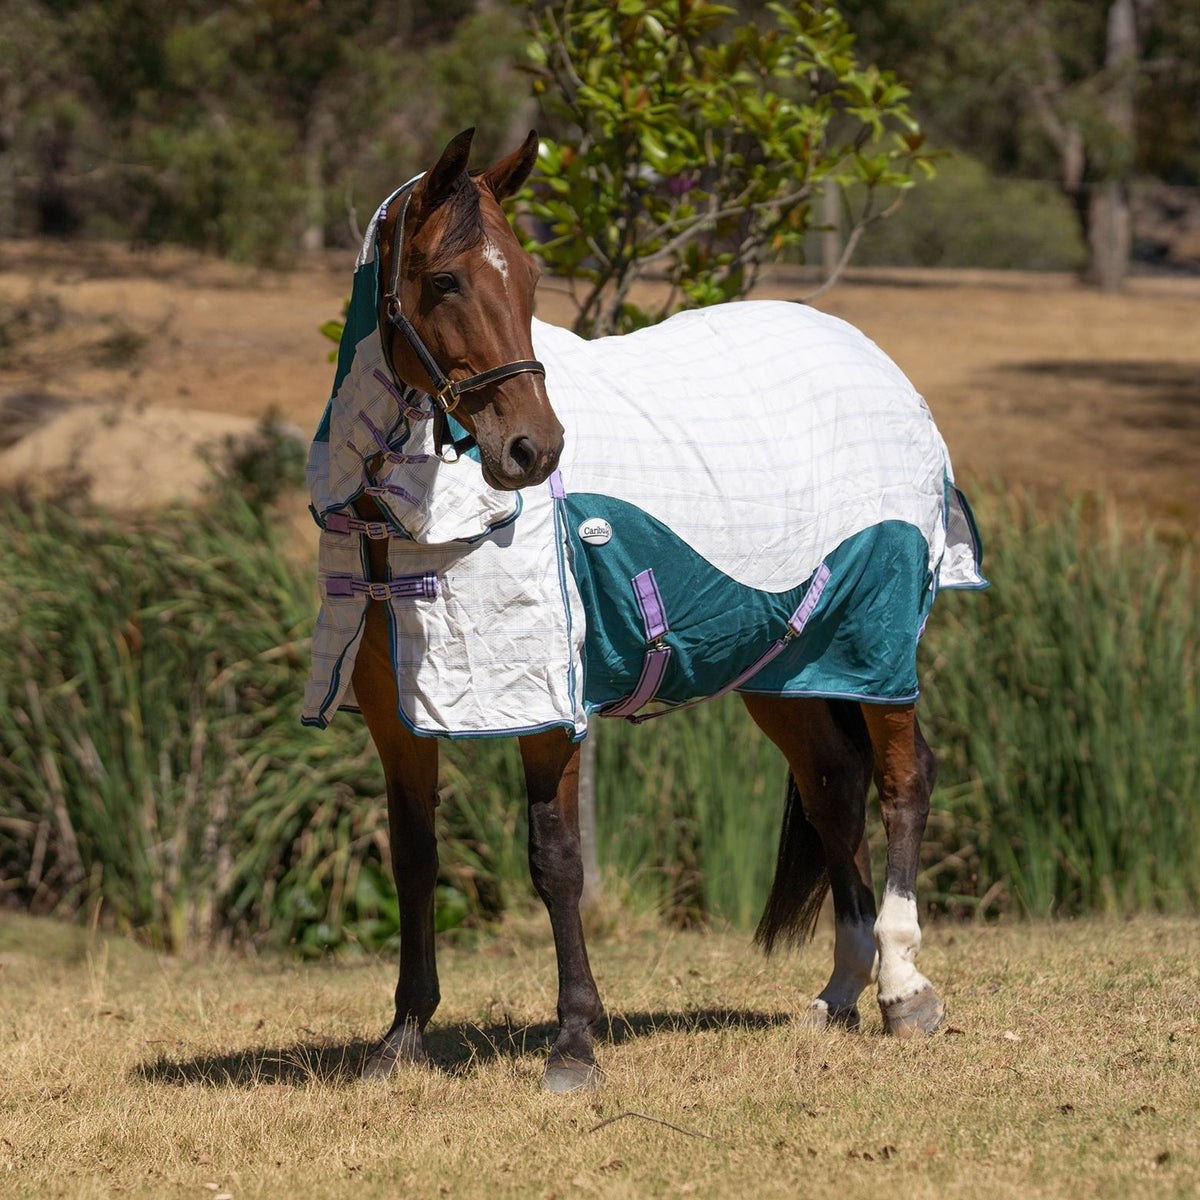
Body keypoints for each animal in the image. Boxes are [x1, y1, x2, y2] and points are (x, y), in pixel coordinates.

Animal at [302, 129, 985, 1092]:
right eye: (444, 280)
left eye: (528, 277)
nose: (534, 448)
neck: (400, 525)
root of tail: (882, 369)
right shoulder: (397, 720)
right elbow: (413, 859)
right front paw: (402, 1036)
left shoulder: (549, 707)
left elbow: (555, 860)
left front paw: (574, 1041)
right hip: (786, 665)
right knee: (833, 788)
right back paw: (839, 993)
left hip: (875, 644)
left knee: (902, 782)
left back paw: (903, 989)